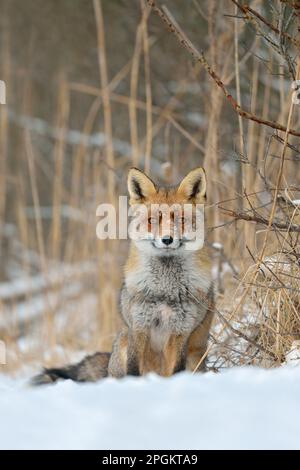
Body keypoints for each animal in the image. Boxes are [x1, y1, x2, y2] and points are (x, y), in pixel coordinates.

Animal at [32, 167, 213, 384]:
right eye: (152, 221)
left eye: (181, 220)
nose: (167, 239)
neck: (164, 289)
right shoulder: (138, 327)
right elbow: (133, 369)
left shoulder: (180, 333)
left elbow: (176, 370)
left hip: (195, 357)